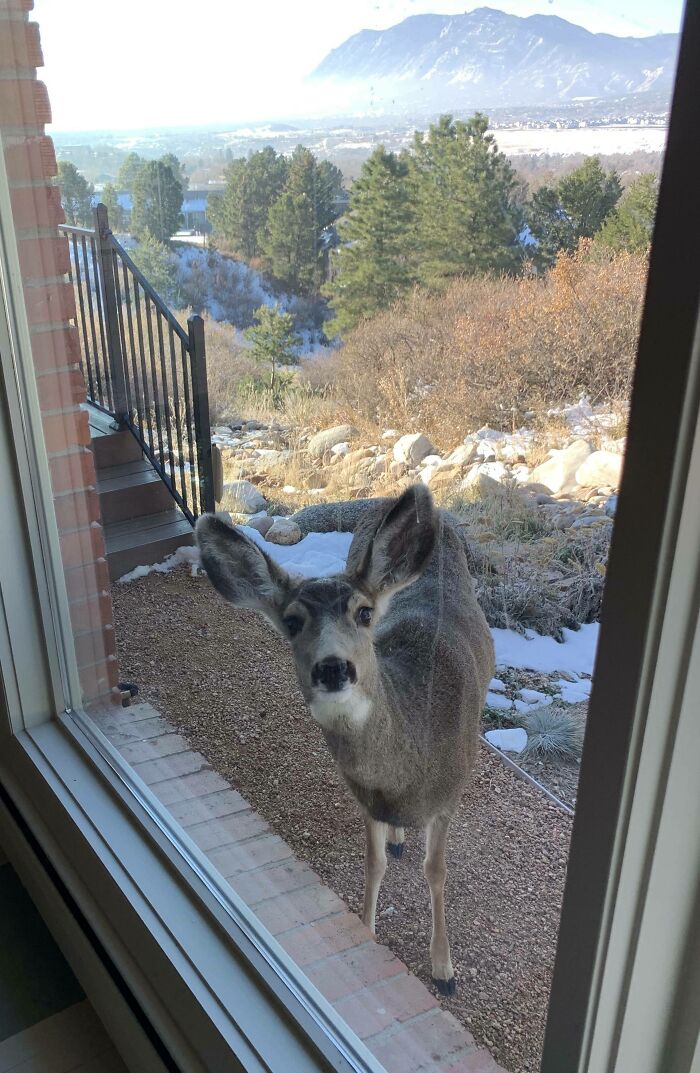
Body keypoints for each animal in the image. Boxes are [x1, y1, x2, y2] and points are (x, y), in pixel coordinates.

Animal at [195, 484, 494, 995]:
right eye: (292, 621)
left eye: (364, 612)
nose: (333, 667)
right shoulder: (366, 799)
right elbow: (373, 864)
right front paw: (367, 933)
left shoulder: (450, 795)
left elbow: (436, 872)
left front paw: (444, 969)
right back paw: (398, 837)